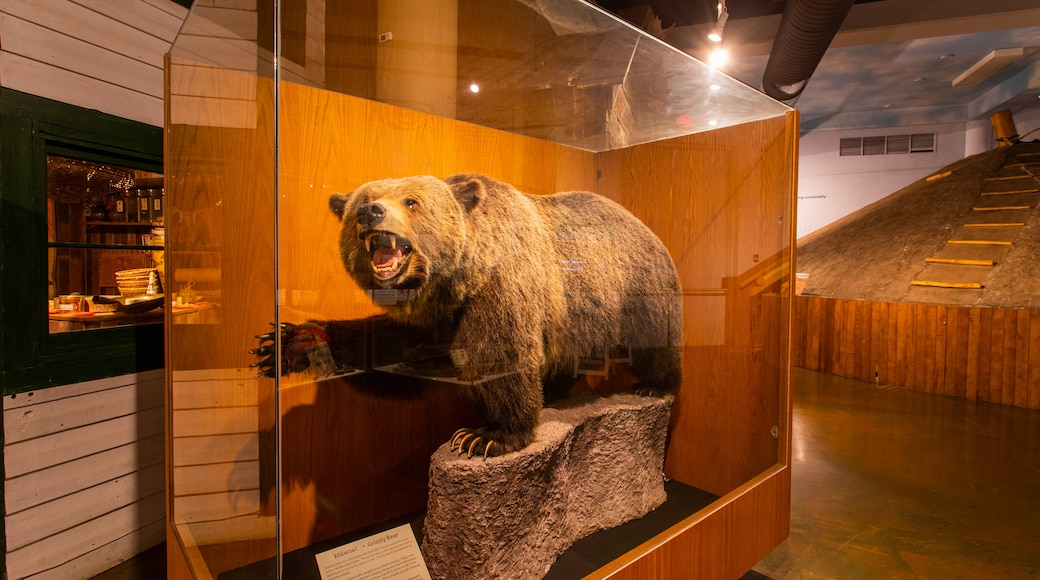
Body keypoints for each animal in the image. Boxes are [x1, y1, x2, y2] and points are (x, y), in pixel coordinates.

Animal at [251, 173, 682, 459]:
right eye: (363, 198)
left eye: (411, 201)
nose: (370, 212)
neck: (454, 282)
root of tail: (643, 222)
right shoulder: (432, 317)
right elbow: (389, 346)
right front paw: (288, 343)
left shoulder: (498, 290)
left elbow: (497, 357)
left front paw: (486, 435)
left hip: (637, 288)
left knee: (656, 342)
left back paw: (654, 386)